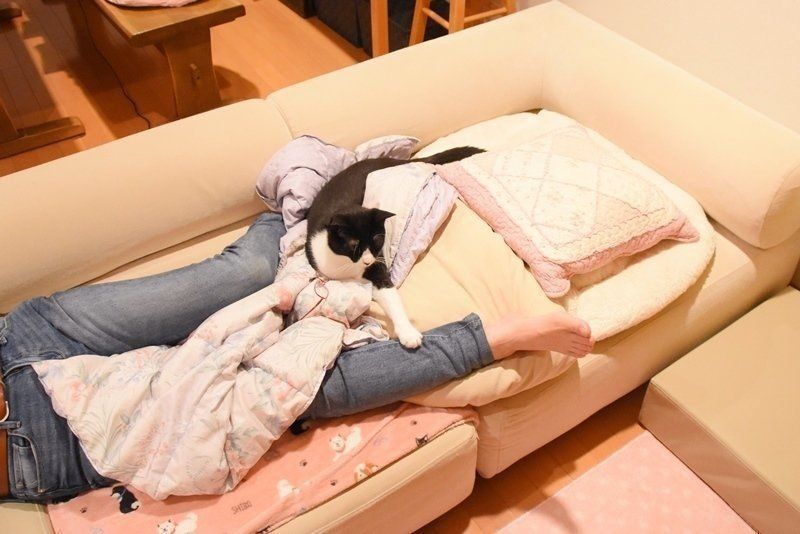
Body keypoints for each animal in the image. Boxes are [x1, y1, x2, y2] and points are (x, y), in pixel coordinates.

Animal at [305, 145, 483, 348]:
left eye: (376, 239)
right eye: (354, 244)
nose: (367, 261)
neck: (349, 266)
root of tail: (393, 160)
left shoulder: (377, 266)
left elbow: (390, 296)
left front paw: (408, 333)